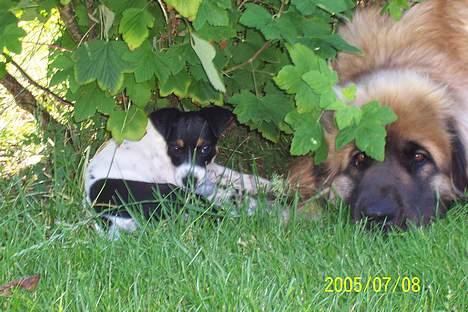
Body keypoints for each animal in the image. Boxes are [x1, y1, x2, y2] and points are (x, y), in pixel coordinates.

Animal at [84, 106, 270, 235]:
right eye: (176, 148)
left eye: (205, 148)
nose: (190, 181)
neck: (164, 146)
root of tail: (106, 220)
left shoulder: (205, 170)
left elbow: (234, 175)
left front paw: (266, 184)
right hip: (167, 192)